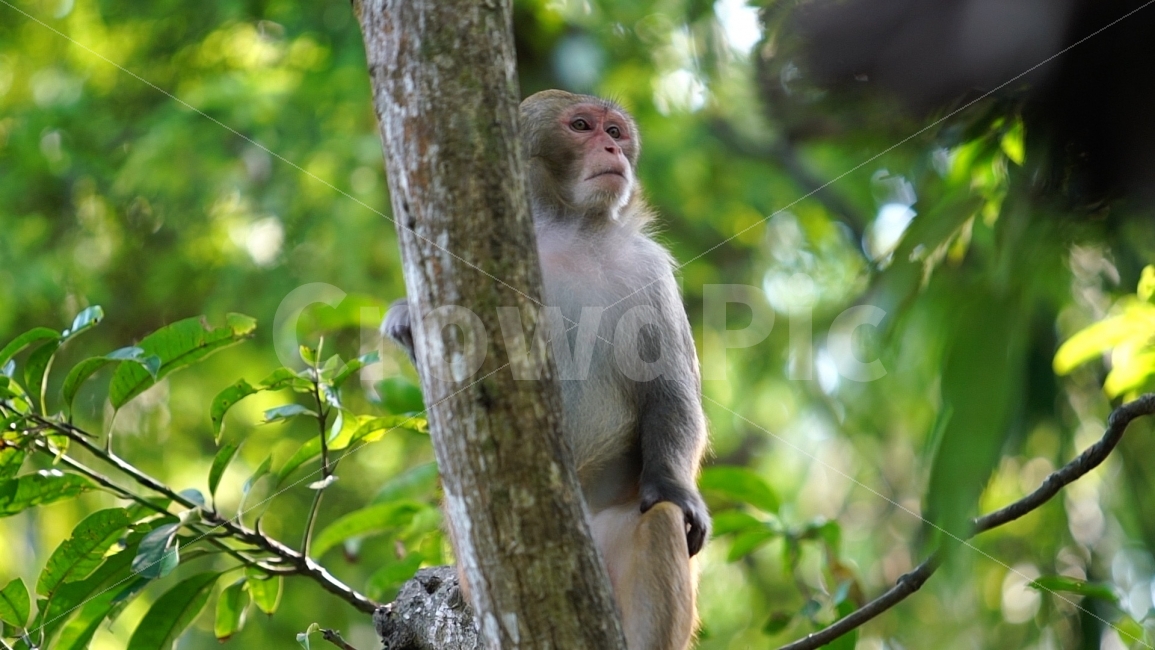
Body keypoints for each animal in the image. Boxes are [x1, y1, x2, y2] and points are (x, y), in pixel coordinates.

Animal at [383, 89, 709, 650]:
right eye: (581, 126)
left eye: (616, 132)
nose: (612, 148)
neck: (569, 232)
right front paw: (406, 319)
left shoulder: (649, 271)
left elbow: (670, 392)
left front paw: (673, 485)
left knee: (662, 522)